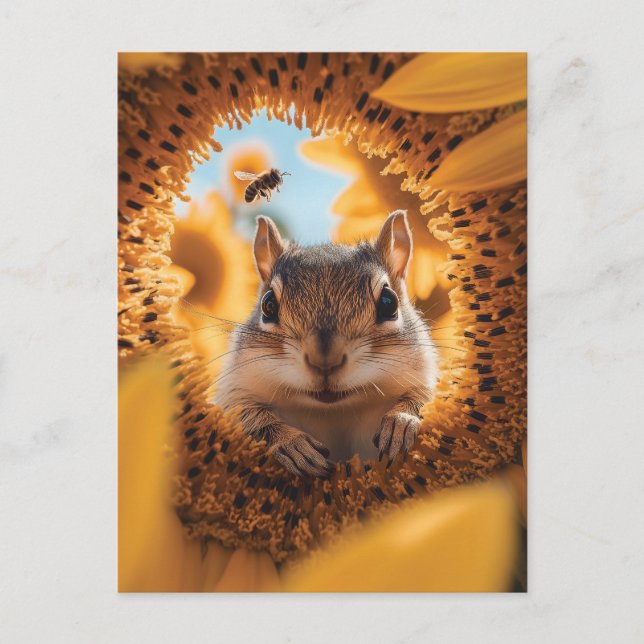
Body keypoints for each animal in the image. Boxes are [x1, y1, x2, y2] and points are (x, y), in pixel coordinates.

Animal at [214, 210, 438, 477]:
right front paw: (291, 444)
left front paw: (401, 422)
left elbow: (424, 397)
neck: (334, 410)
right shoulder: (234, 391)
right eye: (268, 305)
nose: (324, 361)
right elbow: (248, 418)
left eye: (388, 302)